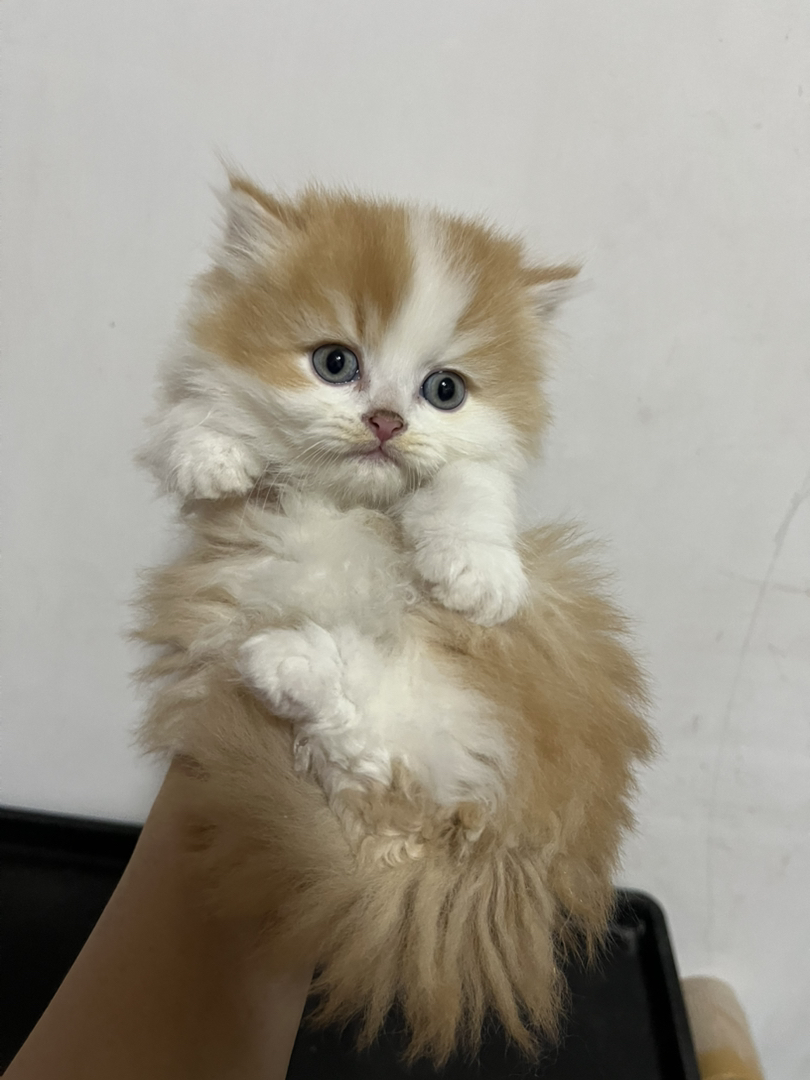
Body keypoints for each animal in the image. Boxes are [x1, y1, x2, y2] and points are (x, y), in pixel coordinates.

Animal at [136, 175, 653, 1064]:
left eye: (444, 390)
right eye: (335, 364)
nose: (385, 422)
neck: (350, 502)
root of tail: (509, 861)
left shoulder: (478, 470)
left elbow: (470, 479)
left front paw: (478, 571)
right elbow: (192, 410)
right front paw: (212, 449)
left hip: (489, 683)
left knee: (392, 740)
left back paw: (283, 659)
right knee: (374, 763)